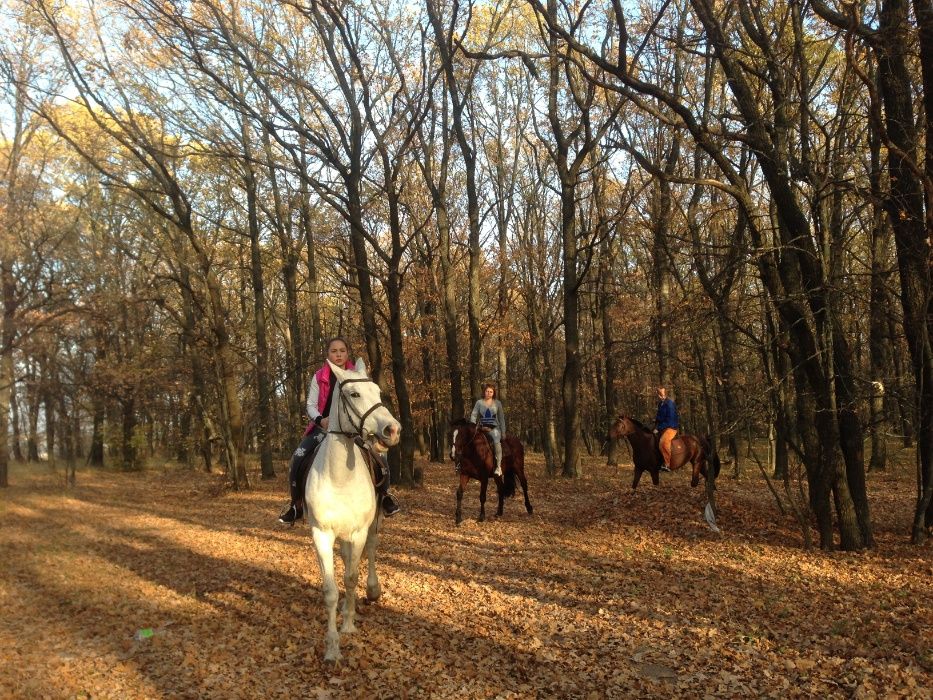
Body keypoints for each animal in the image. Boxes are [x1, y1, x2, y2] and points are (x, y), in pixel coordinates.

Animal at [302, 360, 396, 660]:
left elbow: (352, 578)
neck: (339, 476)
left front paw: (349, 625)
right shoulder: (321, 534)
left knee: (372, 549)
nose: (392, 429)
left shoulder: (358, 531)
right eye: (354, 394)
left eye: (378, 391)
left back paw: (373, 590)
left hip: (374, 521)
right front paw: (332, 647)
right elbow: (331, 589)